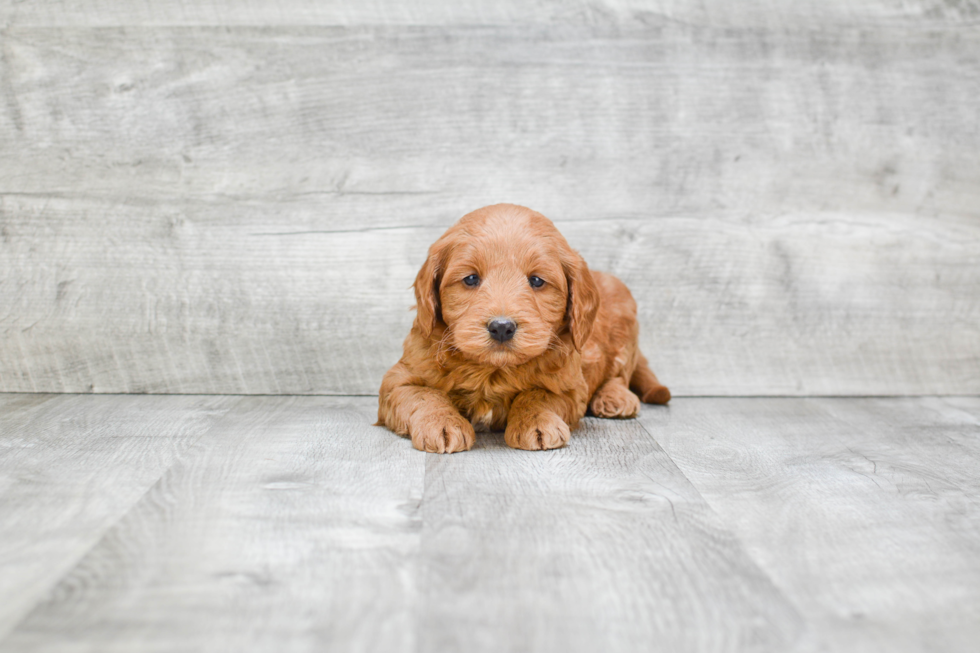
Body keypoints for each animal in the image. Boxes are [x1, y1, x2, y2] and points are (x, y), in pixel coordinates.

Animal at [374, 204, 668, 454]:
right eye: (471, 279)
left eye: (536, 281)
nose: (502, 327)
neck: (492, 371)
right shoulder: (398, 378)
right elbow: (423, 394)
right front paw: (442, 423)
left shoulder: (570, 387)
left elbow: (537, 395)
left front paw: (535, 422)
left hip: (624, 319)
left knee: (619, 373)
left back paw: (616, 397)